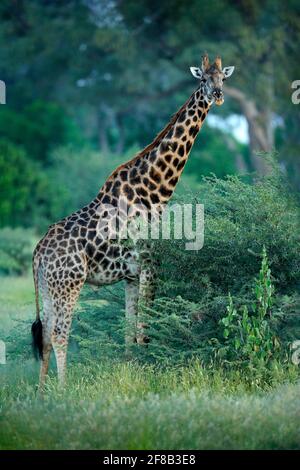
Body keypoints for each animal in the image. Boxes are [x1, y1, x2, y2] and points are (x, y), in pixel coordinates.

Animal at [31, 53, 236, 388]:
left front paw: (131, 371)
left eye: (223, 78)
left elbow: (129, 332)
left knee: (46, 336)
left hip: (48, 287)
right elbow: (145, 331)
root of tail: (37, 254)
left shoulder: (130, 274)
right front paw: (148, 371)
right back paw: (62, 389)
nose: (217, 95)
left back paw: (41, 392)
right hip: (69, 283)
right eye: (203, 79)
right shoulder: (152, 263)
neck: (155, 189)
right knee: (60, 335)